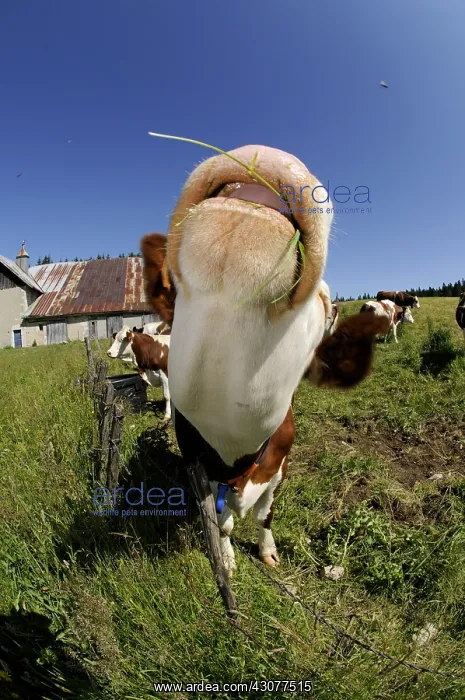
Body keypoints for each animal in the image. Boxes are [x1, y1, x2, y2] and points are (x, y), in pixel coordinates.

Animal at [141, 145, 388, 576]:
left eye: (324, 301)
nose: (269, 153)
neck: (233, 447)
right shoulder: (201, 468)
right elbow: (221, 522)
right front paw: (225, 557)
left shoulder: (280, 466)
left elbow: (263, 515)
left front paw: (267, 551)